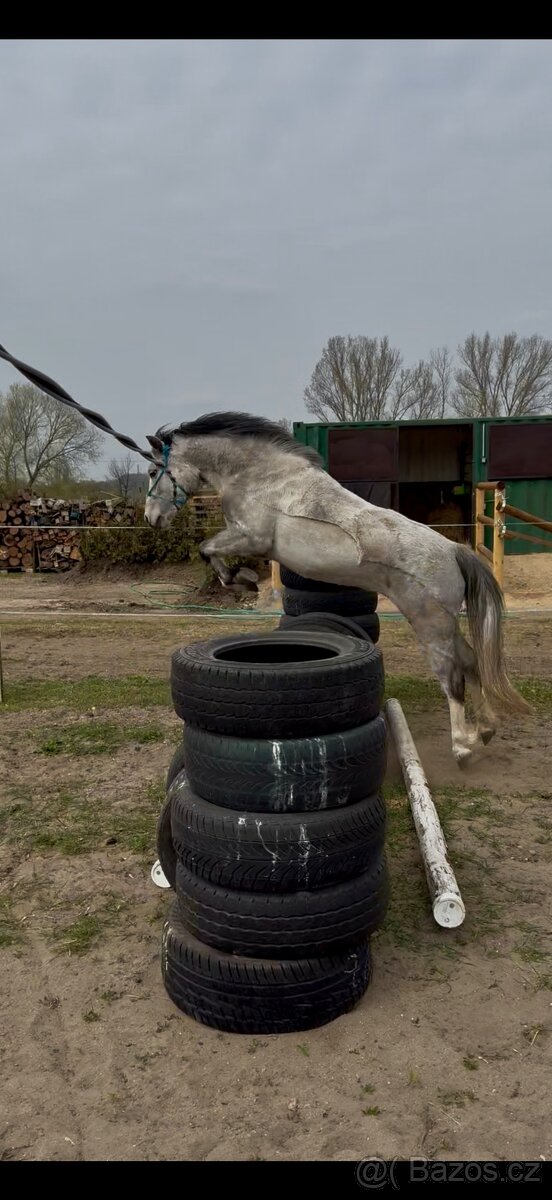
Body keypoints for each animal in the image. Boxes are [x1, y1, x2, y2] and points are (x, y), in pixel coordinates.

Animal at [143, 412, 530, 767]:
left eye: (151, 472)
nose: (151, 519)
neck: (260, 478)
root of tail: (453, 550)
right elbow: (209, 550)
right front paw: (239, 579)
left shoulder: (251, 538)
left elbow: (207, 549)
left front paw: (235, 579)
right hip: (446, 624)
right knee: (471, 661)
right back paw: (485, 730)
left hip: (430, 623)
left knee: (452, 677)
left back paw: (462, 747)